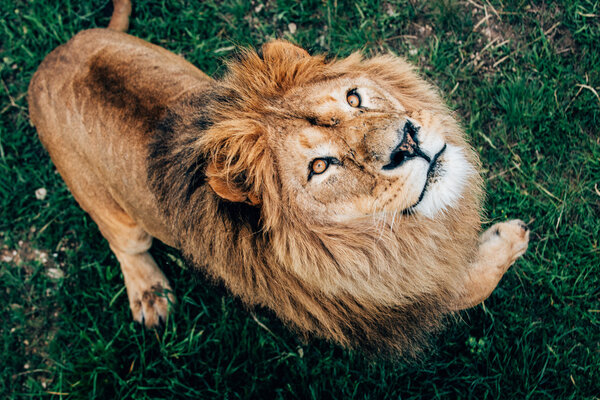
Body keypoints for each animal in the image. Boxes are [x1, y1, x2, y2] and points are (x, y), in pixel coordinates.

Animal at [28, 0, 528, 356]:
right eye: (320, 167)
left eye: (354, 98)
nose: (407, 142)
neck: (387, 241)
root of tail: (56, 55)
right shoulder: (380, 312)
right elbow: (463, 291)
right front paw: (508, 239)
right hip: (113, 215)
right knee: (125, 247)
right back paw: (150, 295)